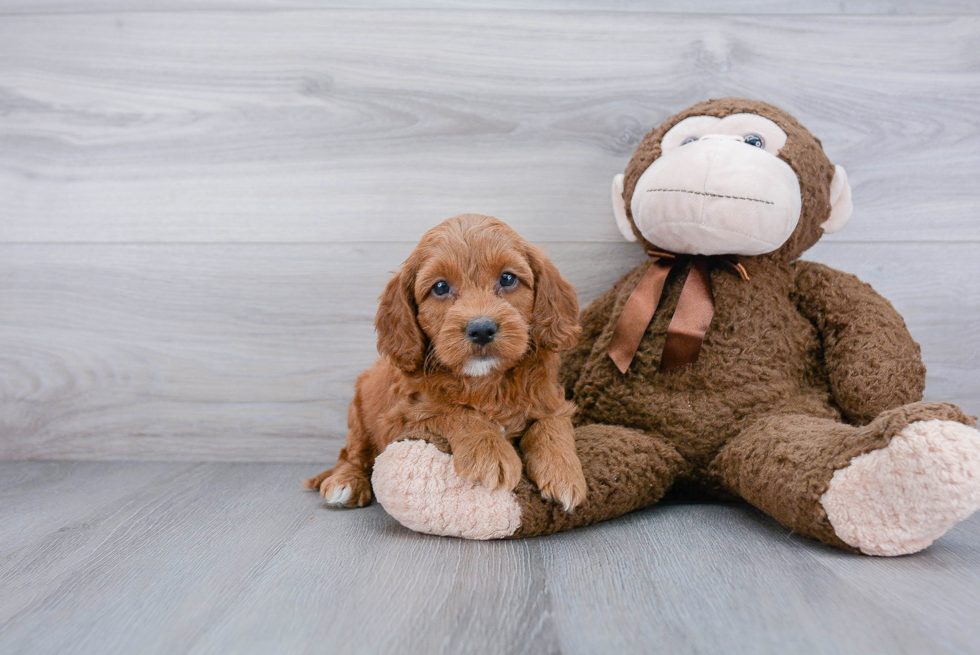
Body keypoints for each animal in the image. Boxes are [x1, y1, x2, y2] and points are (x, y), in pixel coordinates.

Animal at [302, 215, 584, 512]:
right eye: (440, 287)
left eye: (508, 278)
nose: (482, 329)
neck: (485, 382)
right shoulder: (400, 418)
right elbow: (452, 411)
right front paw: (490, 452)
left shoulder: (552, 400)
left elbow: (551, 423)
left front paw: (564, 474)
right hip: (357, 416)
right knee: (351, 454)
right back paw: (346, 482)